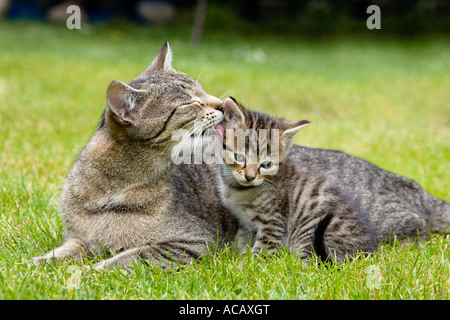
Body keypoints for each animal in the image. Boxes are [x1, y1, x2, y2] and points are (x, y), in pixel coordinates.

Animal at [216, 97, 374, 262]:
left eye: (266, 164)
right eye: (239, 157)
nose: (250, 177)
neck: (238, 189)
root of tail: (365, 254)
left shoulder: (274, 223)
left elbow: (260, 251)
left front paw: (247, 264)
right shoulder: (245, 223)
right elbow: (240, 242)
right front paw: (237, 258)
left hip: (310, 232)